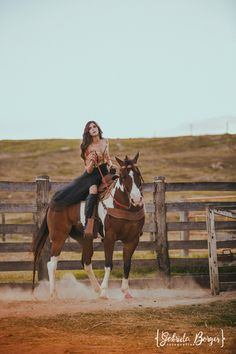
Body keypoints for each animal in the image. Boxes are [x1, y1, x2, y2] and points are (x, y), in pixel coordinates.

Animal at [32, 152, 145, 298]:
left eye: (138, 174)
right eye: (124, 176)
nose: (136, 199)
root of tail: (52, 204)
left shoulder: (133, 239)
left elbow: (127, 264)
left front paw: (126, 292)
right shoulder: (109, 237)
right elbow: (108, 264)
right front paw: (104, 292)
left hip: (85, 238)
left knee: (86, 262)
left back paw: (96, 289)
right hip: (59, 236)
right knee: (52, 263)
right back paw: (53, 293)